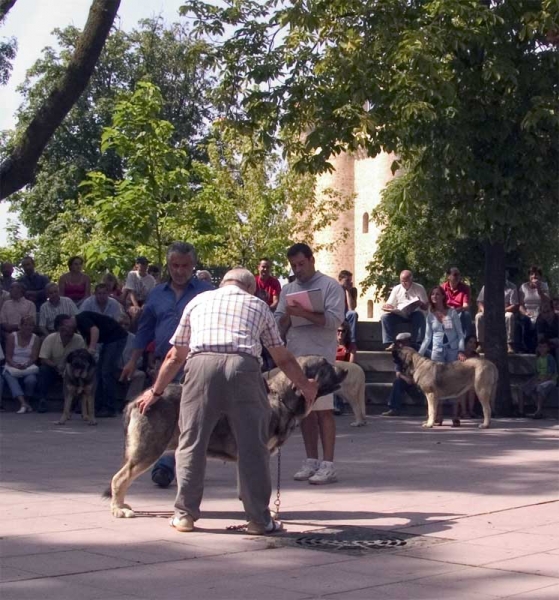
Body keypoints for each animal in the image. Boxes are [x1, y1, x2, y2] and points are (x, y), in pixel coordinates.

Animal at [104, 354, 346, 516]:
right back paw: (118, 509)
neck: (281, 398)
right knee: (119, 478)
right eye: (325, 364)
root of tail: (138, 400)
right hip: (149, 449)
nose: (344, 370)